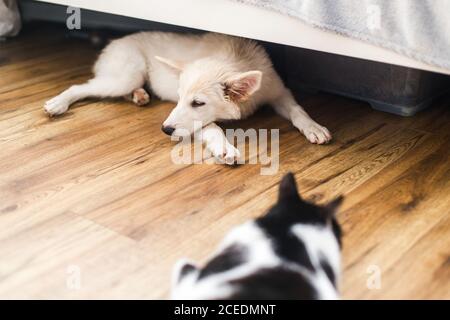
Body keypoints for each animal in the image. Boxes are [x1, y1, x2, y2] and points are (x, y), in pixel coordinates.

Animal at [44, 32, 330, 161]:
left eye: (198, 103)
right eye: (180, 97)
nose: (164, 129)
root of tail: (114, 41)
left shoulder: (278, 91)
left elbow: (298, 110)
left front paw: (314, 127)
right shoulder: (197, 123)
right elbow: (213, 127)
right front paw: (224, 146)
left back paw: (139, 95)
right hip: (126, 75)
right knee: (80, 86)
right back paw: (58, 103)